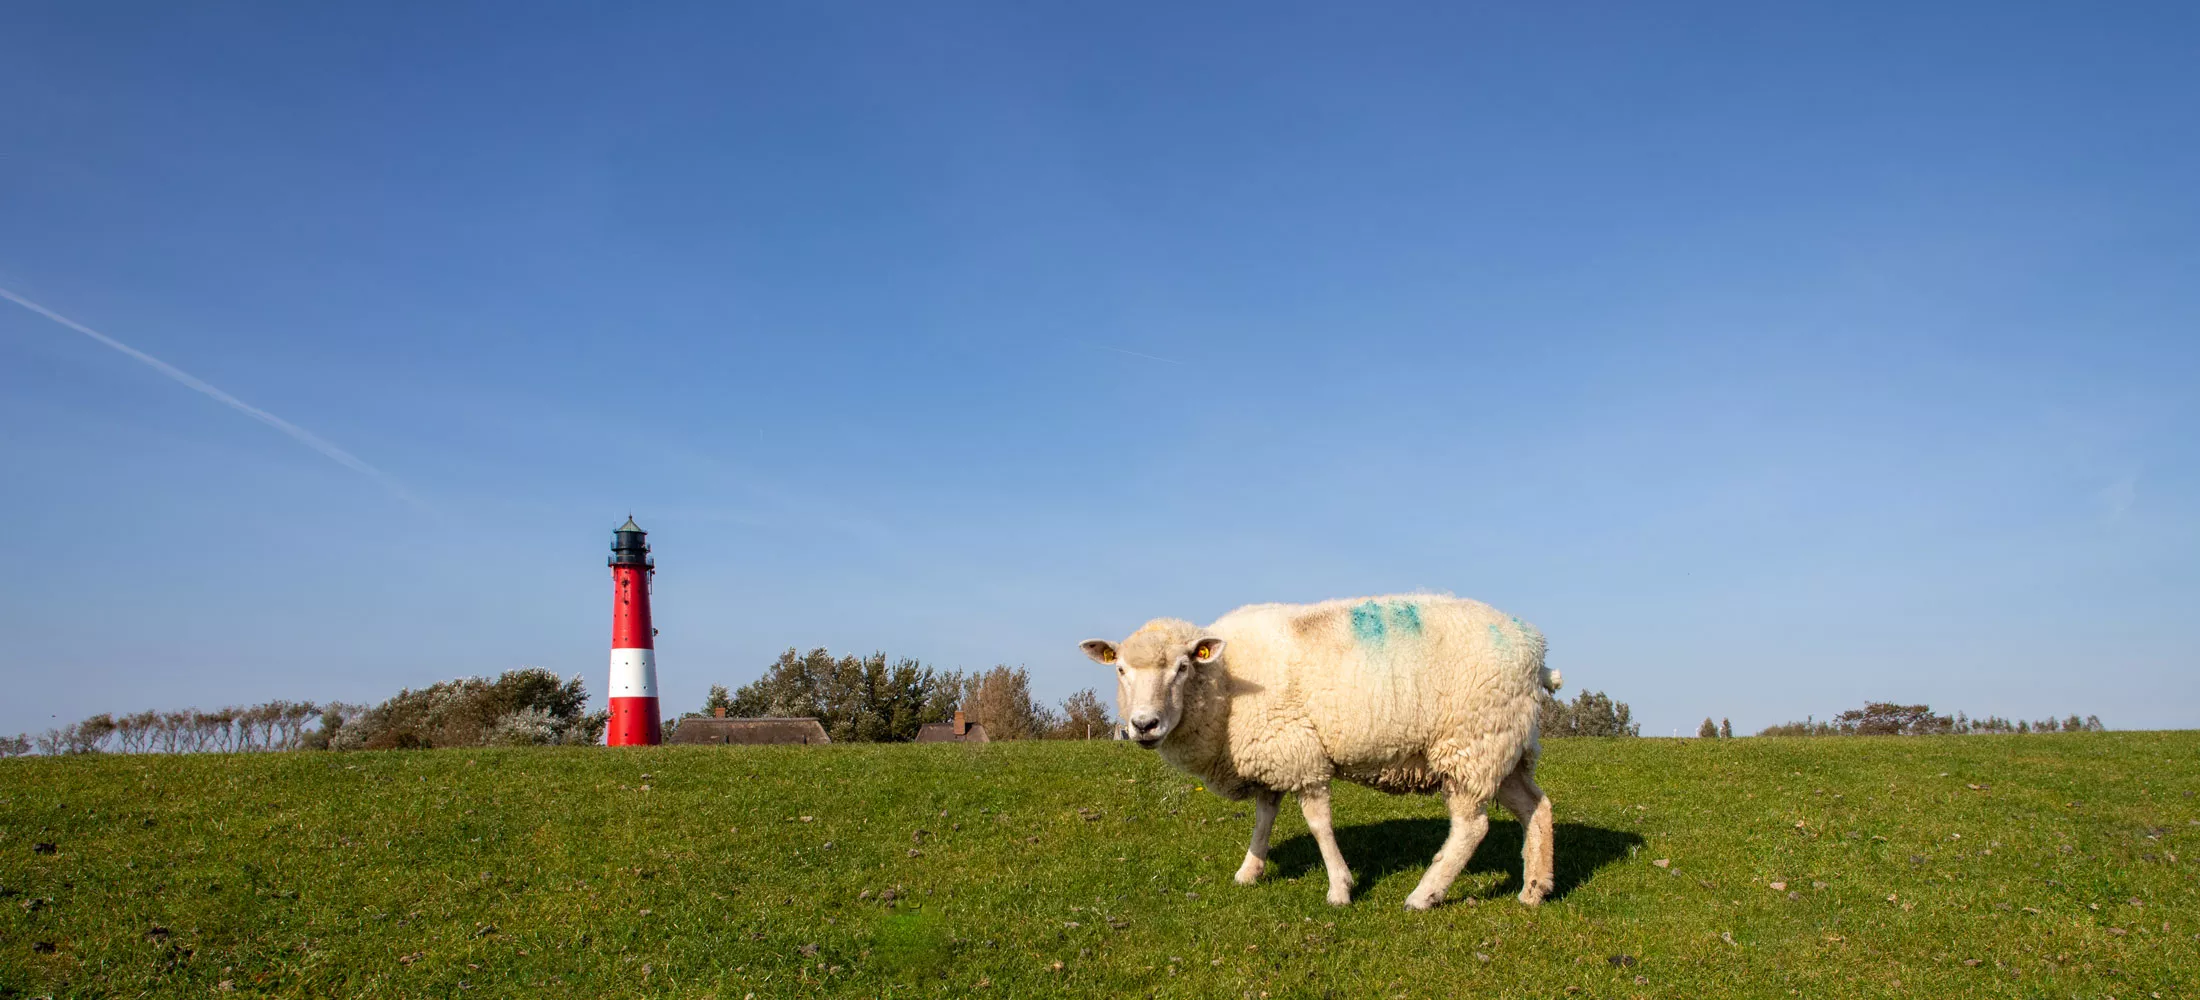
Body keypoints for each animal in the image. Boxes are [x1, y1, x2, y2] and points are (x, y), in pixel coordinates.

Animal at [1080, 593, 1560, 909]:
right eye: (1120, 669)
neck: (1226, 682)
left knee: (1470, 829)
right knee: (1536, 807)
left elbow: (1318, 825)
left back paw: (1424, 894)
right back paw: (1534, 889)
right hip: (1504, 746)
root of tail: (1536, 651)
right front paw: (1249, 871)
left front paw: (1339, 889)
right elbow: (1263, 818)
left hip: (1470, 743)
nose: (1144, 725)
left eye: (1182, 667)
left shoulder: (1300, 753)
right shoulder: (1271, 753)